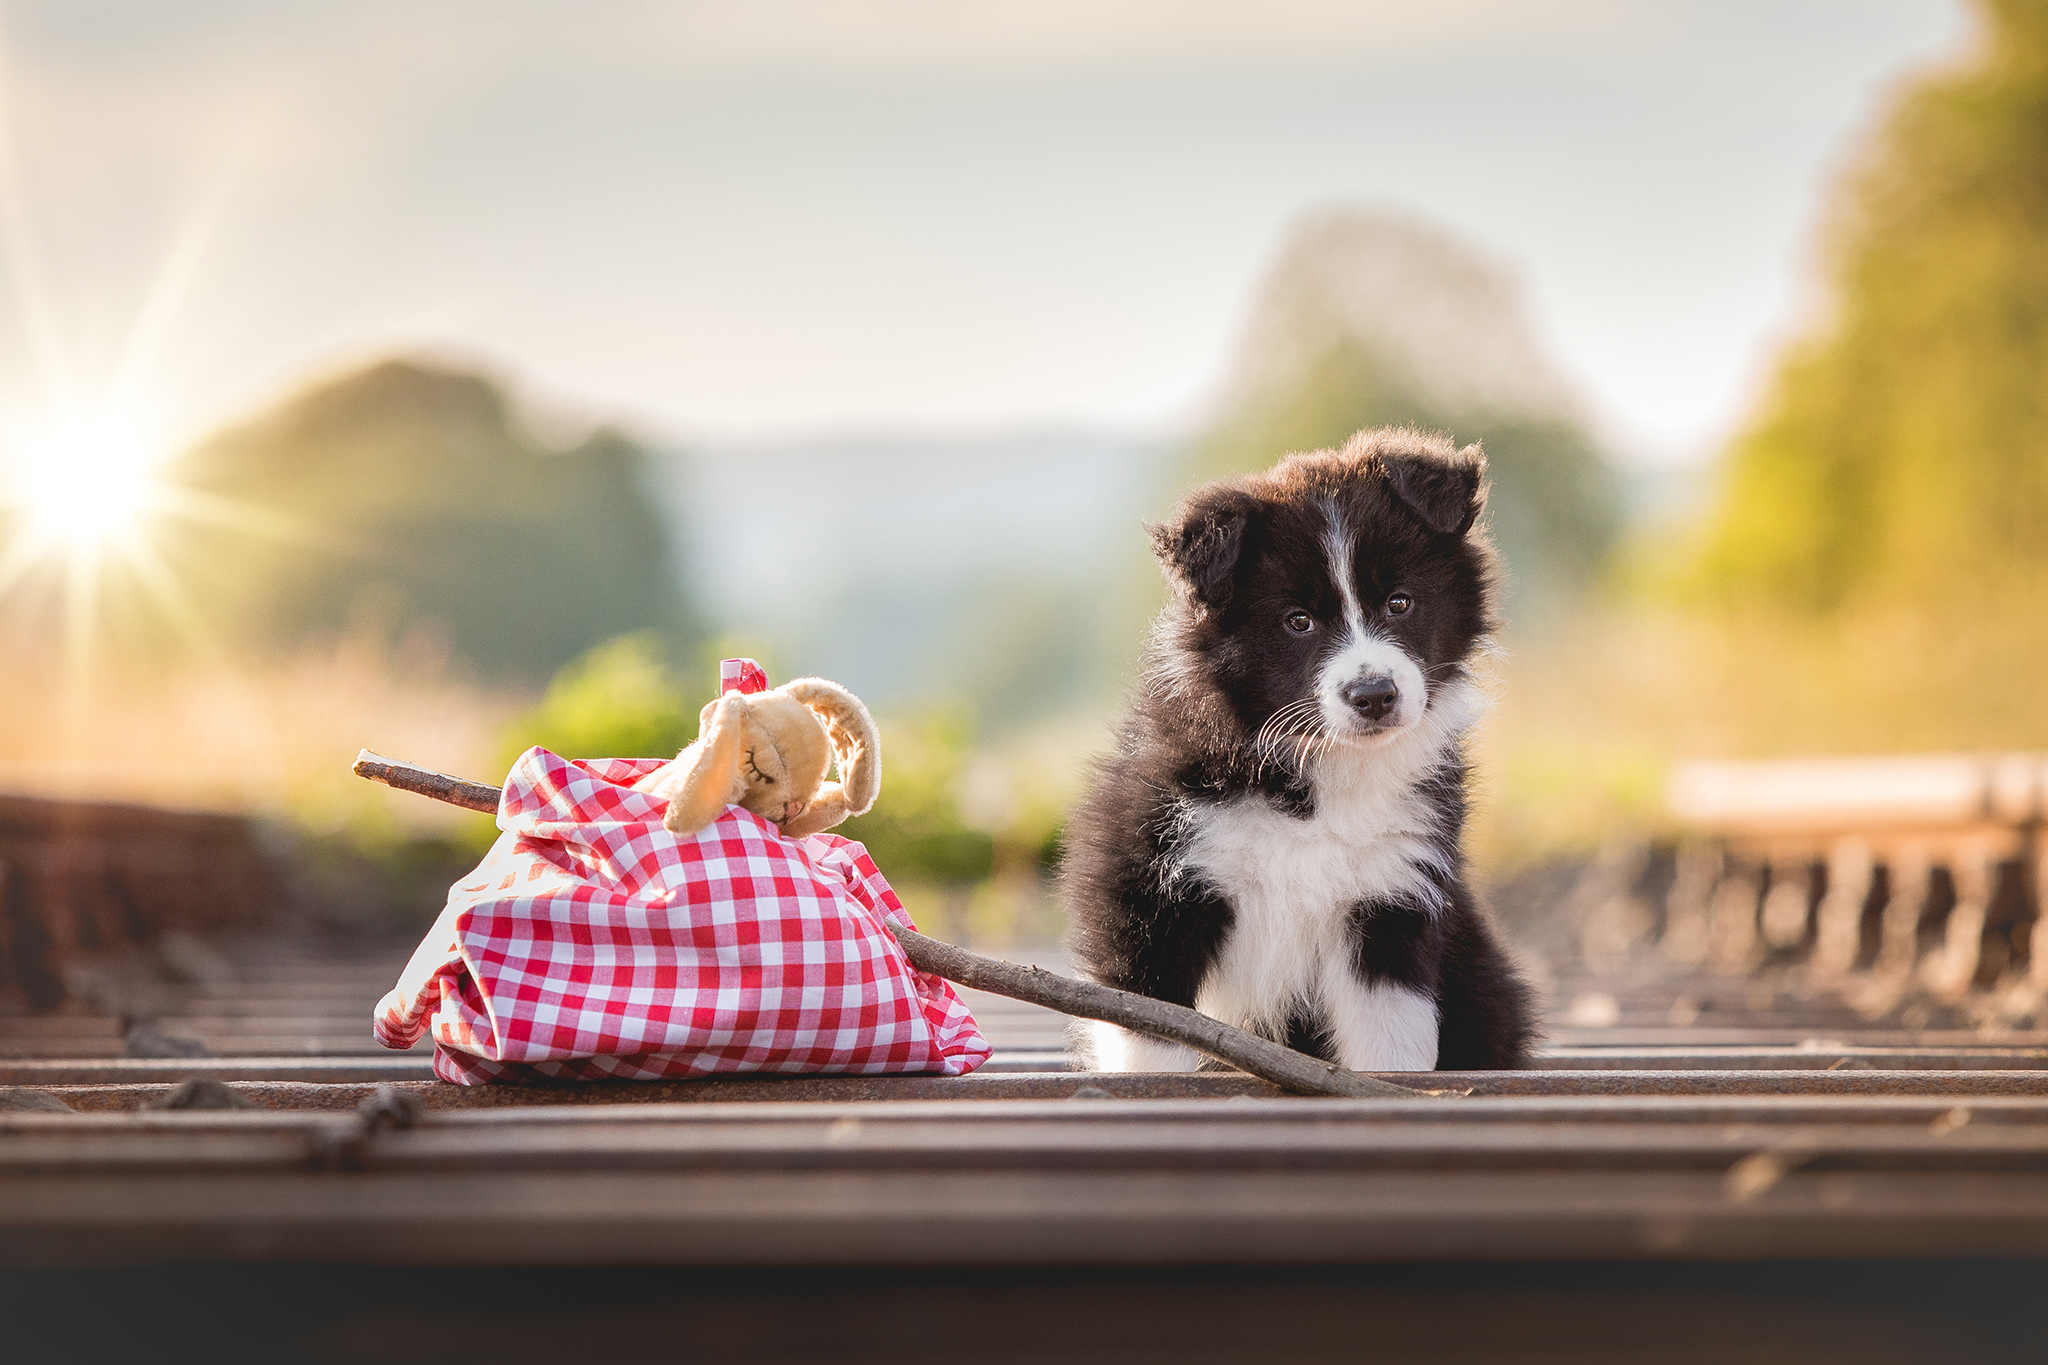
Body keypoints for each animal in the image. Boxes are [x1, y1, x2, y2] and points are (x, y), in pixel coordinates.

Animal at [1064, 431, 1531, 1072]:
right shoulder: (1146, 886)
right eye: (1298, 621)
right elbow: (1151, 1037)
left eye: (1400, 603)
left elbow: (1391, 1040)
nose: (1374, 695)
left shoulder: (1391, 898)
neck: (1313, 771)